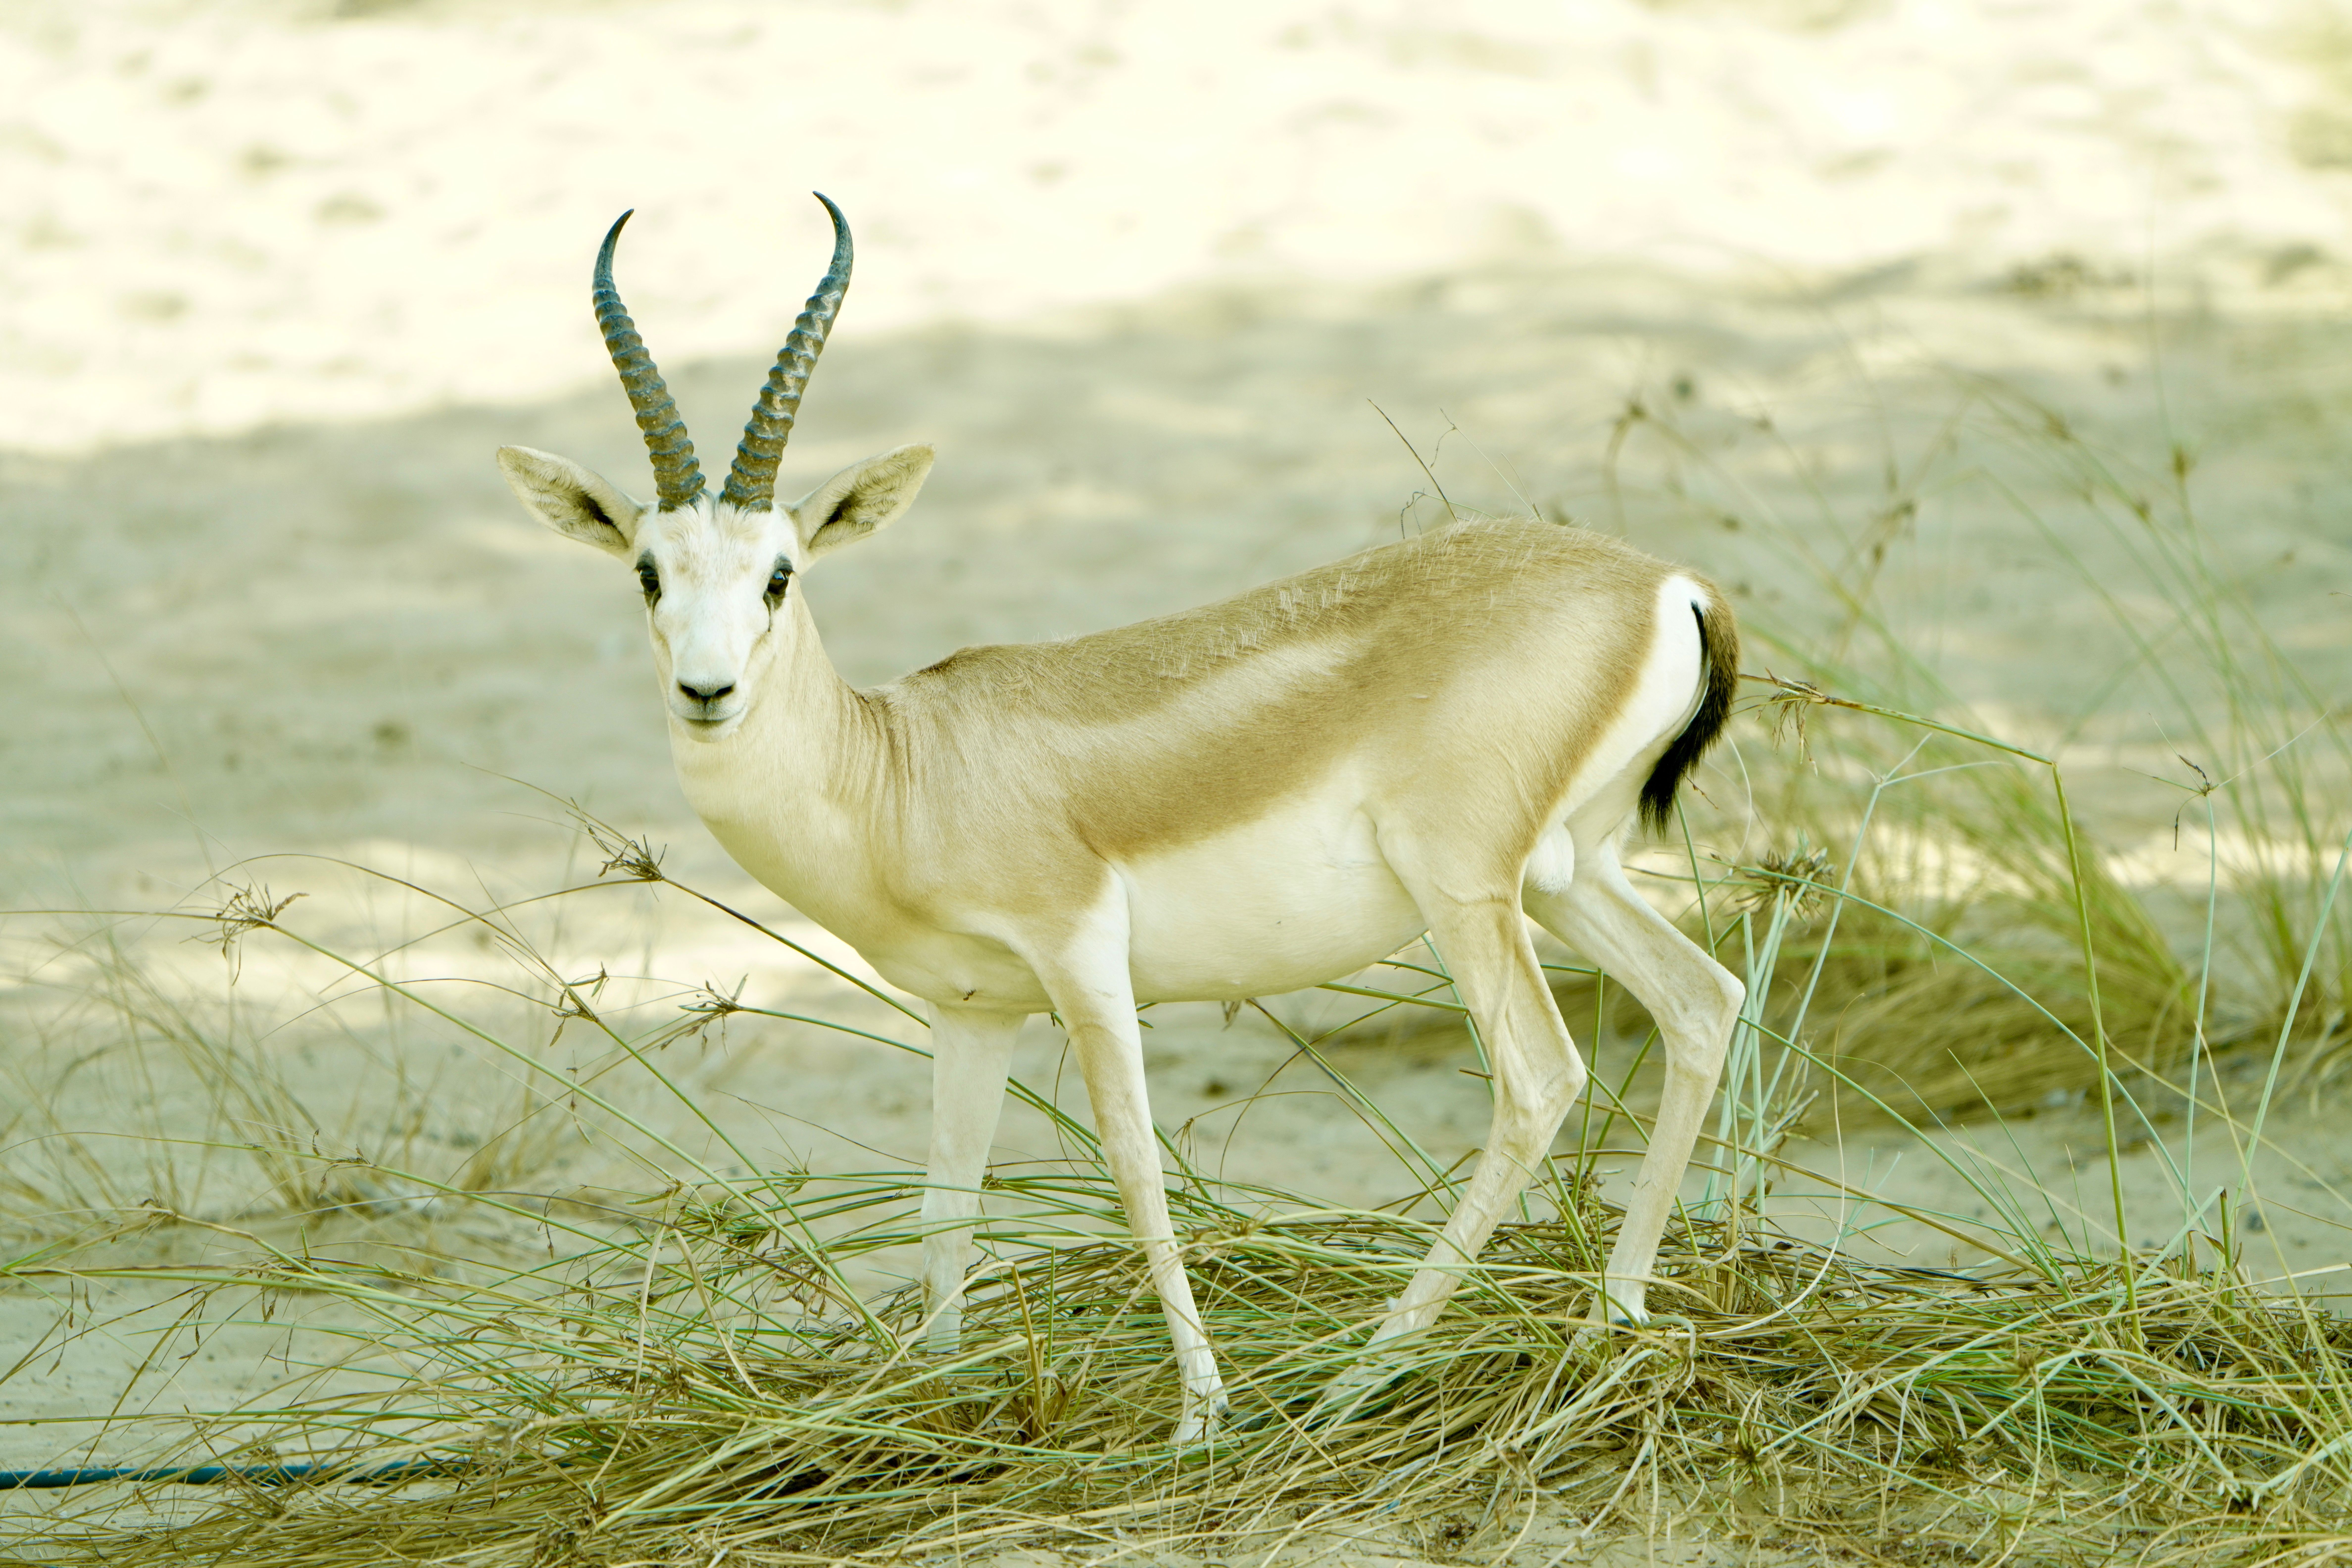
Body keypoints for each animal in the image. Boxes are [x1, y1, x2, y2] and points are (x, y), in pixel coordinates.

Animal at [497, 195, 1745, 1442]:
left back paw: (1359, 1375)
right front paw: (932, 1394)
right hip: (1567, 876)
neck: (904, 772)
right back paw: (1612, 1325)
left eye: (779, 575)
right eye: (649, 573)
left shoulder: (1083, 962)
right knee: (1701, 1002)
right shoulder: (974, 1012)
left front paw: (1200, 1413)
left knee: (1539, 1079)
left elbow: (1135, 1171)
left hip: (1466, 889)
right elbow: (945, 1197)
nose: (706, 692)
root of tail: (1666, 584)